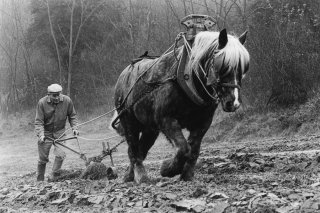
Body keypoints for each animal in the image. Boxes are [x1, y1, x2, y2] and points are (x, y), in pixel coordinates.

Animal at [112, 28, 250, 183]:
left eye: (243, 69)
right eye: (223, 66)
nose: (234, 103)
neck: (191, 79)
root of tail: (125, 74)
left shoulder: (202, 123)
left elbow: (193, 150)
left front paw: (186, 175)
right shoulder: (166, 119)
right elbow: (184, 149)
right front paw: (167, 169)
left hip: (150, 129)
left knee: (141, 149)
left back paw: (129, 175)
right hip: (129, 122)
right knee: (133, 149)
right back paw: (141, 176)